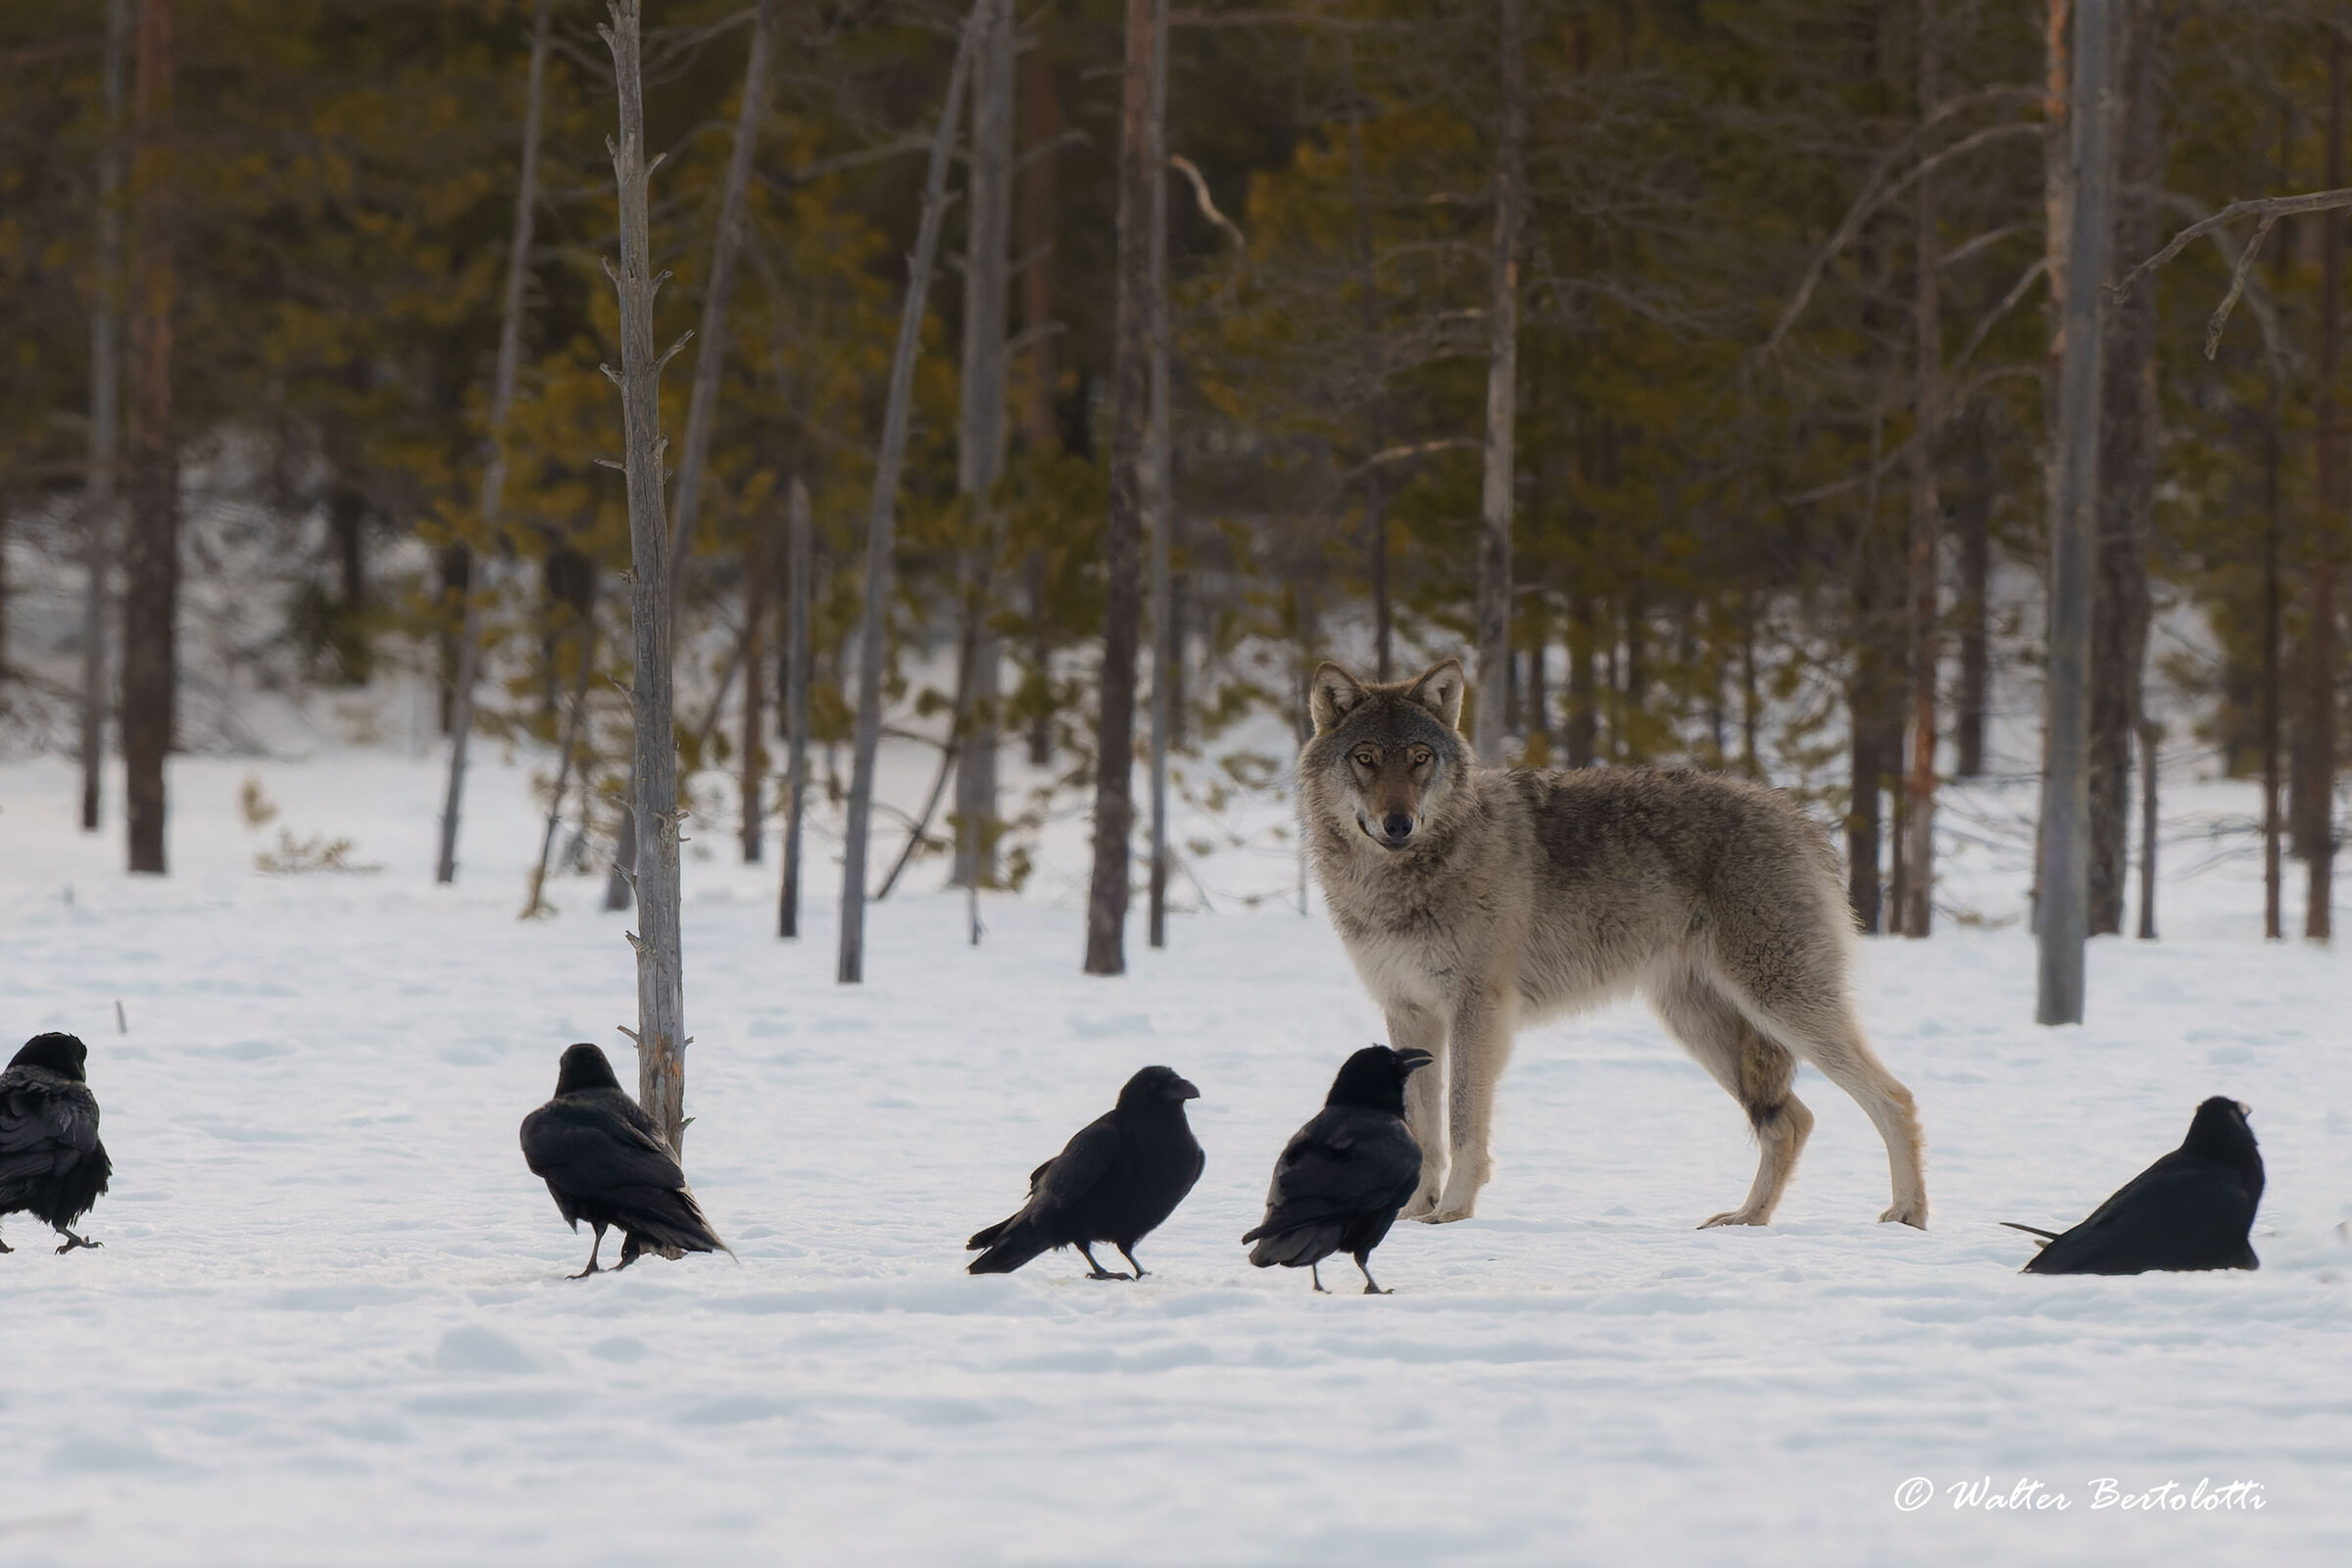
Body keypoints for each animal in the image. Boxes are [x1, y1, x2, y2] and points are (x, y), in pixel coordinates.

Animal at [1298, 658, 1927, 1230]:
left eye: (1419, 758)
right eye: (1366, 758)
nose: (1398, 823)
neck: (1399, 880)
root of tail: (1798, 817)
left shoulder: (1477, 1008)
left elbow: (1461, 1120)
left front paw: (1452, 1212)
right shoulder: (1409, 1012)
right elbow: (1423, 1129)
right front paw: (1410, 1213)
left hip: (1779, 1003)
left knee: (1894, 1098)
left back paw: (1907, 1214)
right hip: (1700, 1024)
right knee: (1791, 1120)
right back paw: (1747, 1219)